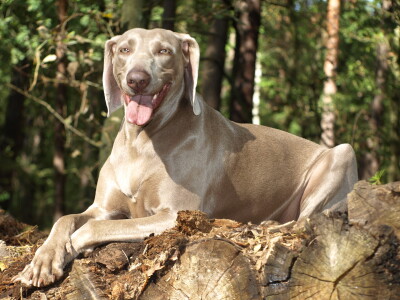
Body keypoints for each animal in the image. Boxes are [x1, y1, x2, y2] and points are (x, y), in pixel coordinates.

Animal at [12, 28, 358, 288]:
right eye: (124, 49)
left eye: (165, 51)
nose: (137, 78)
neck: (142, 141)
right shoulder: (104, 207)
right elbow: (65, 219)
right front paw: (43, 261)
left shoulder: (173, 215)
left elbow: (92, 229)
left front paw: (72, 247)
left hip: (342, 153)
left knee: (303, 222)